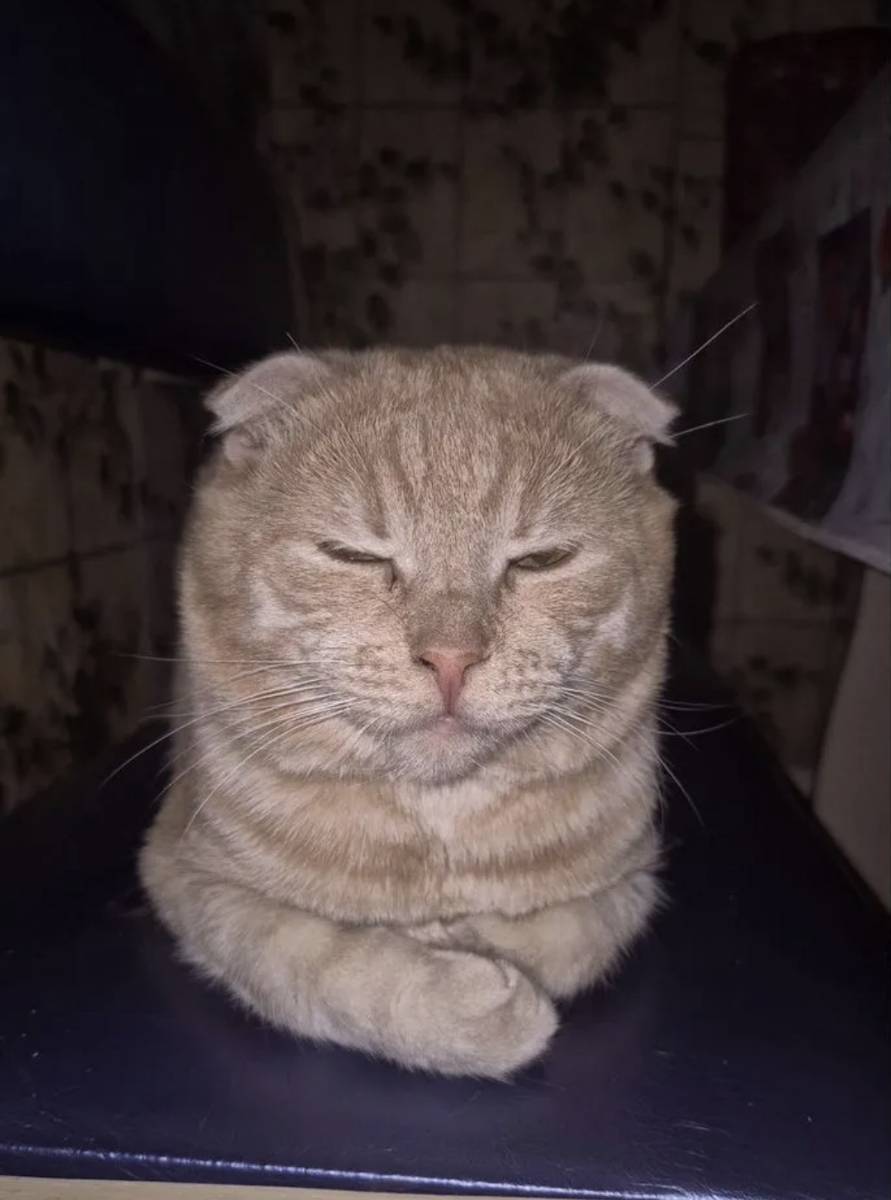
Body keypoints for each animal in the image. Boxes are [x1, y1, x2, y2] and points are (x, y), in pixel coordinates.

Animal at [139, 346, 677, 1077]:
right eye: (352, 555)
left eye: (543, 560)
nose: (450, 659)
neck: (437, 825)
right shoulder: (186, 872)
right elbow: (315, 961)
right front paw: (472, 999)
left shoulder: (633, 878)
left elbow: (570, 934)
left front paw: (469, 940)